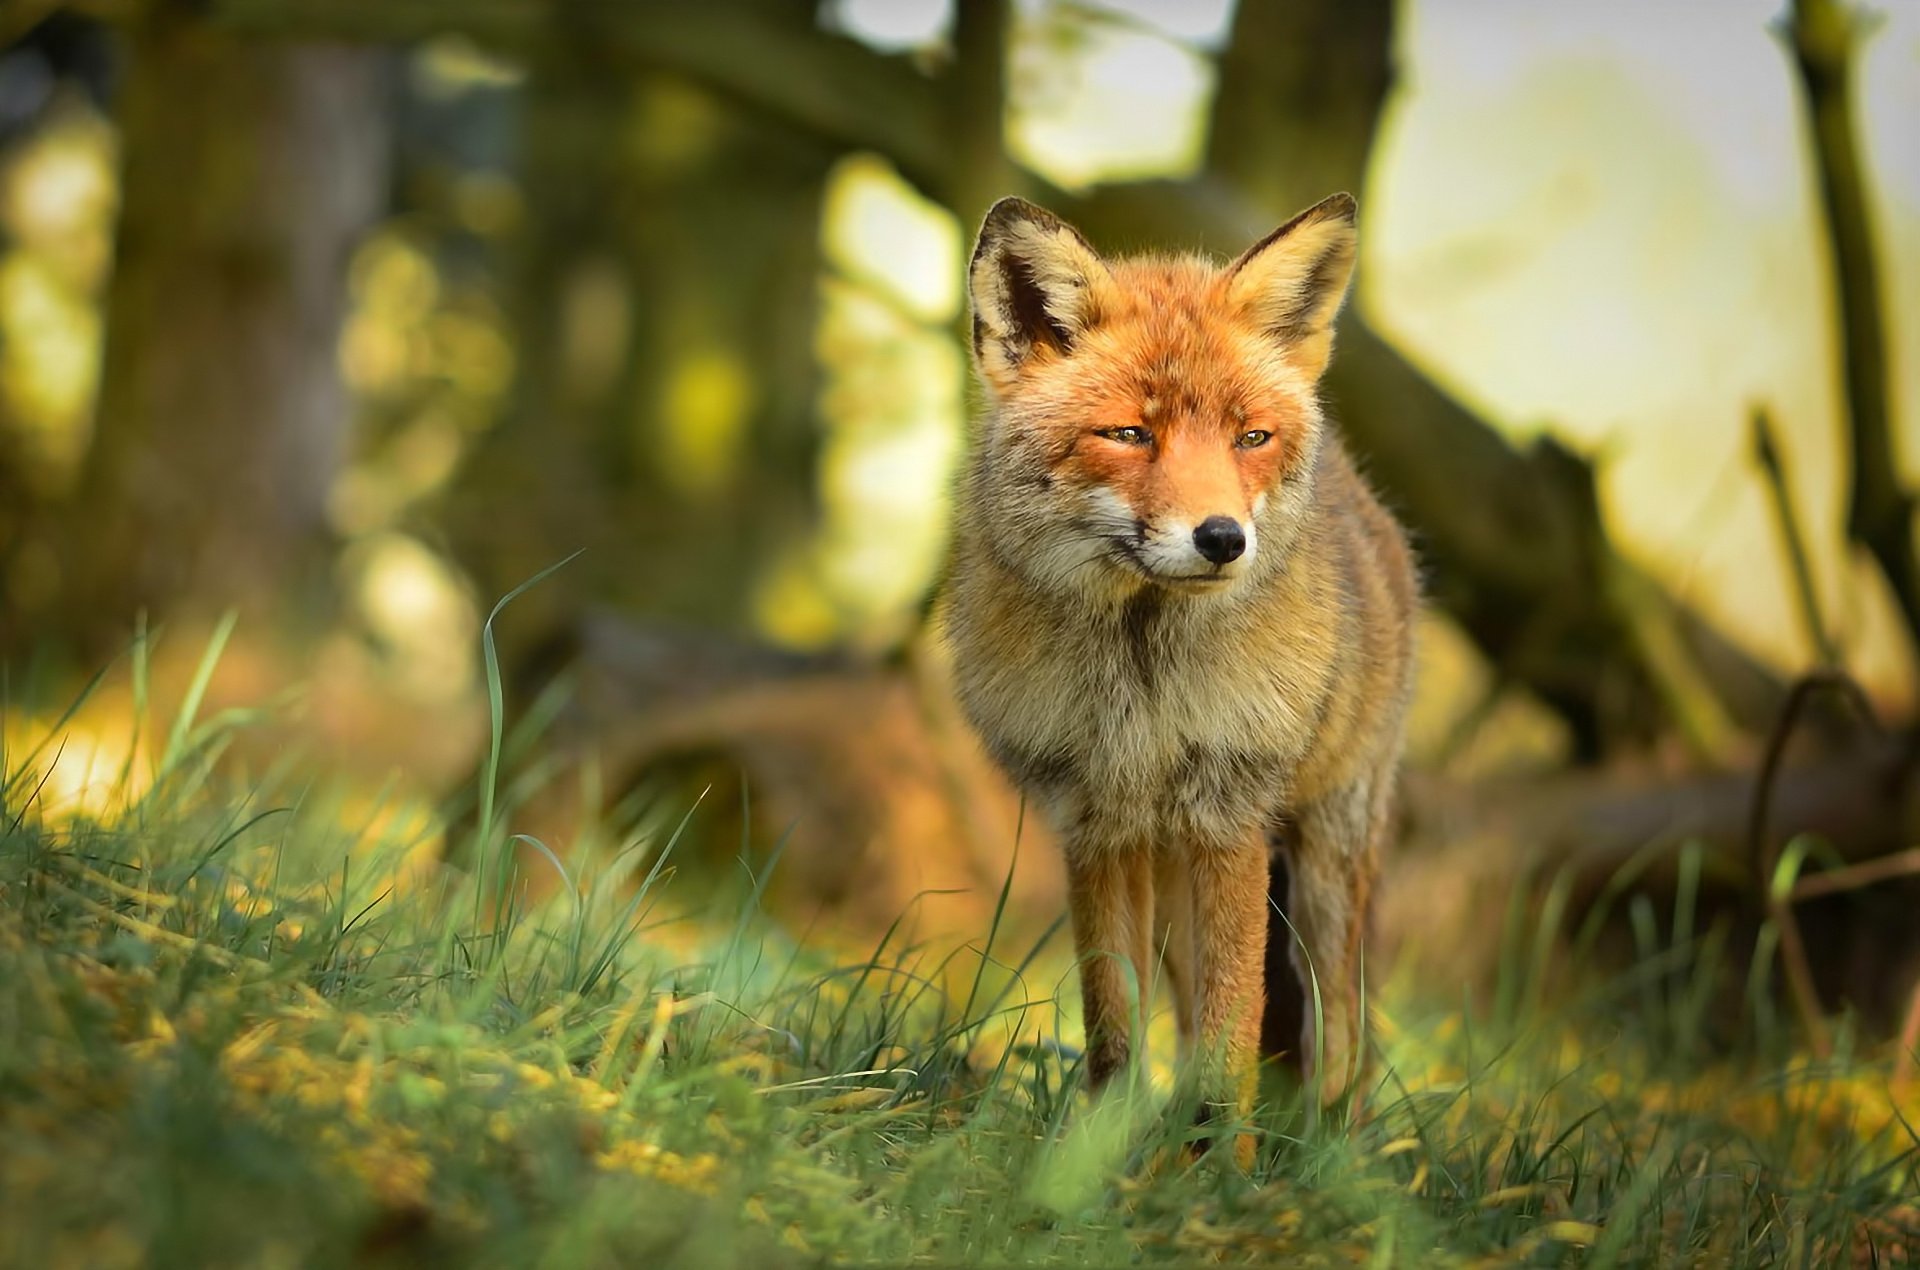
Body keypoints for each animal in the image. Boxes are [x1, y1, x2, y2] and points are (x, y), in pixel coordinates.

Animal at [940, 192, 1417, 1157]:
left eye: (1251, 438)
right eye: (1129, 433)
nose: (1224, 538)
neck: (1141, 686)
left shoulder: (1230, 811)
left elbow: (1239, 1030)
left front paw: (1229, 1172)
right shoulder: (1095, 821)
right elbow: (1115, 1028)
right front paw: (1097, 1160)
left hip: (1324, 867)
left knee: (1340, 1038)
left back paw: (1326, 1161)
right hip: (1172, 881)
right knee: (1196, 1019)